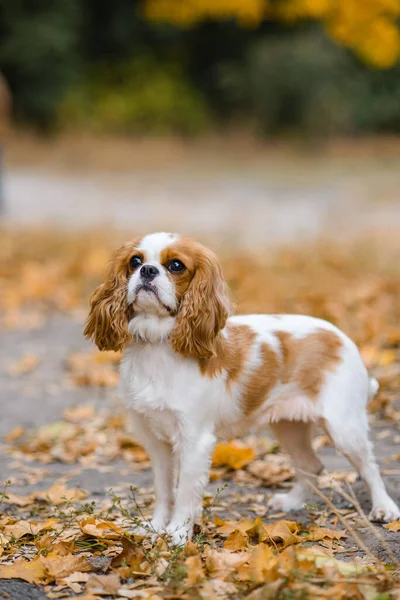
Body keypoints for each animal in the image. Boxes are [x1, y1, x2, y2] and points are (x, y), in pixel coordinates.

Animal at [83, 232, 396, 548]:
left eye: (176, 266)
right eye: (135, 261)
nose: (147, 271)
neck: (158, 344)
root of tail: (341, 337)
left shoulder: (195, 441)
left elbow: (184, 493)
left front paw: (178, 535)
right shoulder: (154, 441)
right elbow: (163, 489)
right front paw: (156, 527)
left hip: (344, 428)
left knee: (369, 467)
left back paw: (384, 508)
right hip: (288, 427)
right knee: (311, 464)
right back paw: (292, 501)